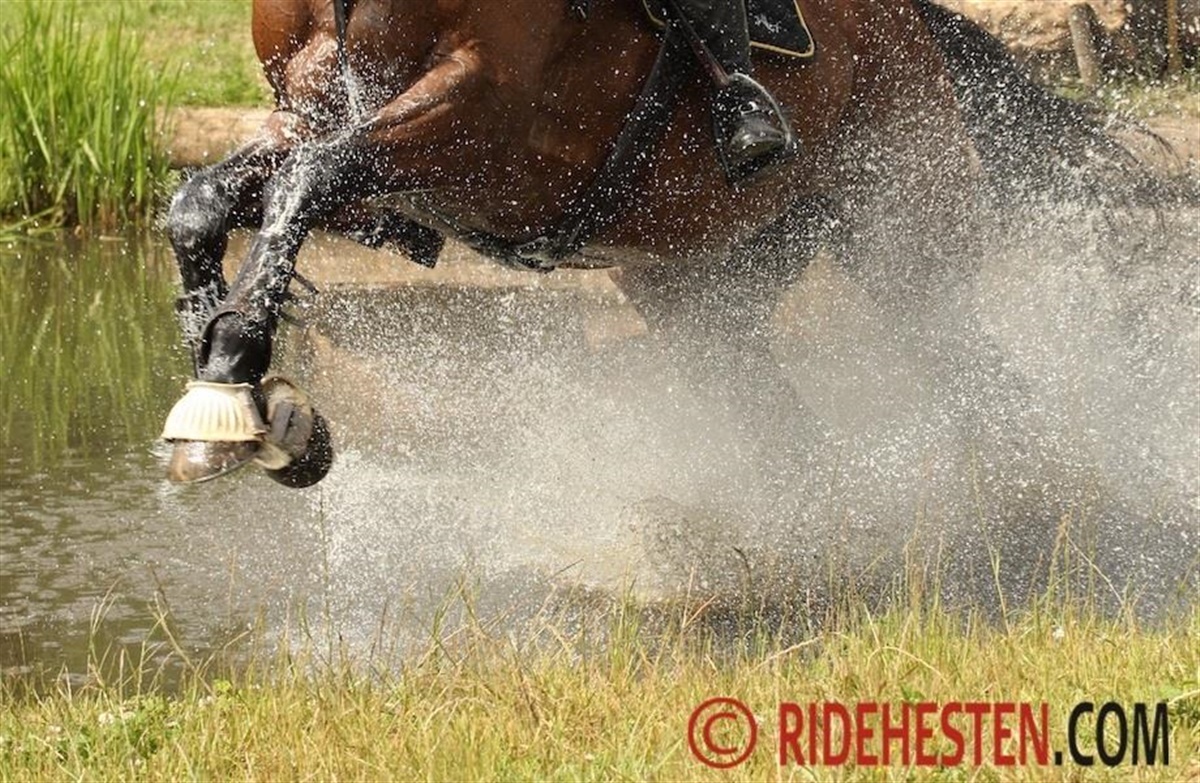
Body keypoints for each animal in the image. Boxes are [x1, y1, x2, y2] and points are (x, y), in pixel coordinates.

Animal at [160, 0, 1152, 487]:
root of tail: (917, 29)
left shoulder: (471, 116)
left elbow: (301, 183)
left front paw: (235, 368)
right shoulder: (310, 110)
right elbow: (202, 202)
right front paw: (231, 376)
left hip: (901, 229)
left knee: (974, 366)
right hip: (701, 286)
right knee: (781, 413)